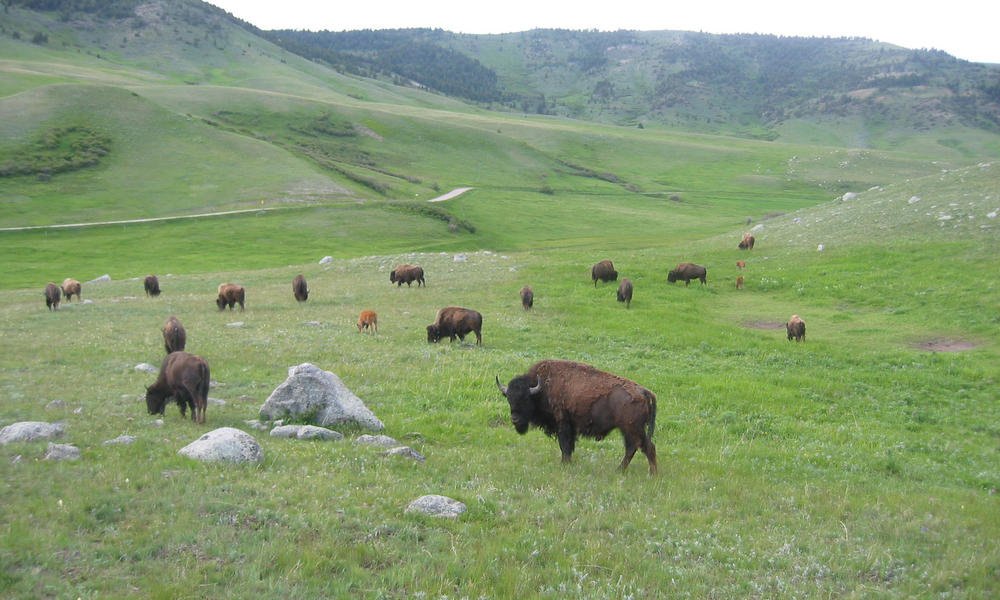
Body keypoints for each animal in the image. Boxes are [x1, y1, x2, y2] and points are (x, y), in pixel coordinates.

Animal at [494, 360, 656, 474]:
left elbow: (564, 446)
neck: (541, 388)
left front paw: (564, 463)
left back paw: (644, 473)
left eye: (525, 399)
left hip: (630, 429)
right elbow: (569, 446)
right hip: (633, 430)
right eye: (509, 398)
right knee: (640, 447)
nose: (515, 419)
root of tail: (643, 391)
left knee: (640, 447)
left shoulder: (562, 424)